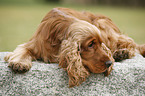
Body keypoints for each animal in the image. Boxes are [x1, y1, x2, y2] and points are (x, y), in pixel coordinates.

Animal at [4, 7, 145, 87]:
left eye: (100, 43)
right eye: (90, 44)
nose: (109, 63)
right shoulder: (35, 43)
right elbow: (22, 50)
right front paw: (19, 63)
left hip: (102, 24)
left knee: (130, 43)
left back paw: (122, 52)